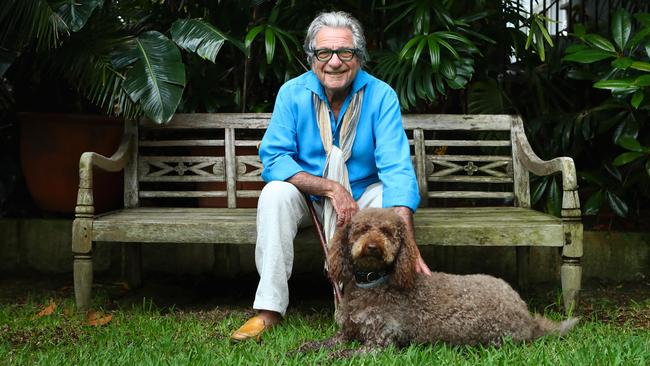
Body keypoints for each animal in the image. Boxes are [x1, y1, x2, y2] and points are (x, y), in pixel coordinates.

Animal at [298, 206, 576, 352]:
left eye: (387, 232)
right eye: (362, 229)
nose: (373, 247)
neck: (373, 281)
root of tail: (527, 316)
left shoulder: (380, 342)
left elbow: (344, 353)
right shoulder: (347, 333)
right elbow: (323, 343)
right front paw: (302, 349)